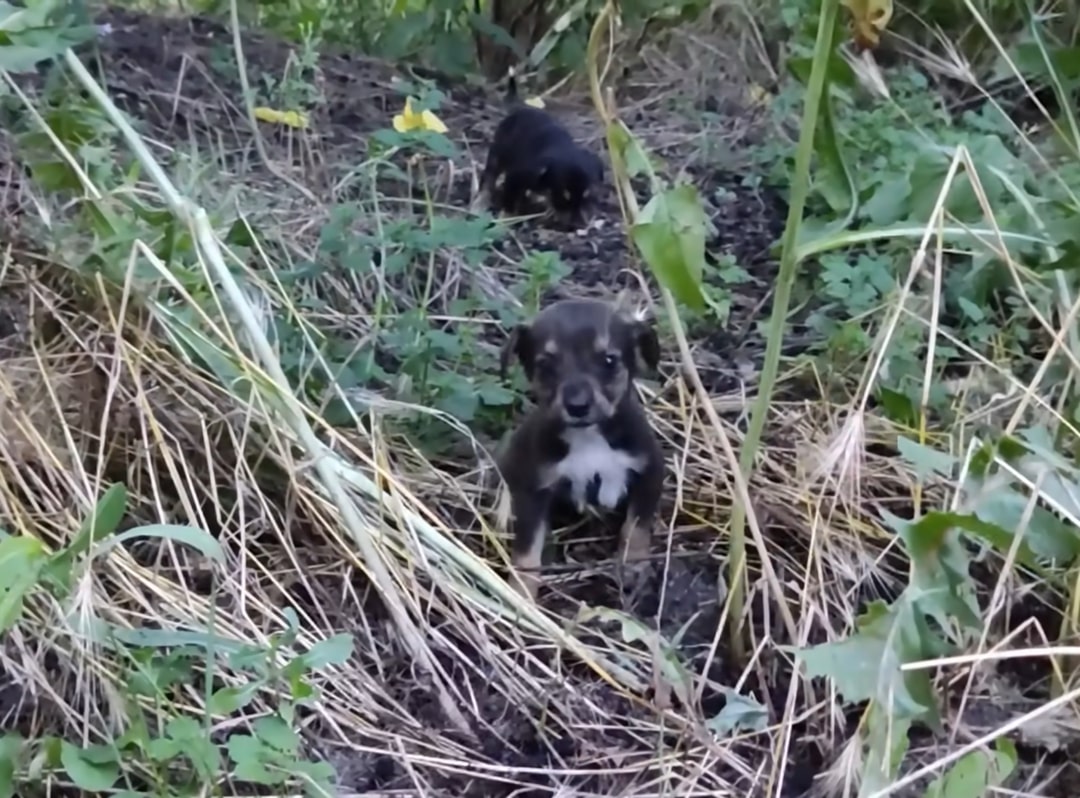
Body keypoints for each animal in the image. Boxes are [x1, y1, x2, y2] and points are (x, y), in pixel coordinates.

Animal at [481, 70, 609, 224]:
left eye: (587, 193)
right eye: (565, 194)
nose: (577, 222)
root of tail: (521, 108)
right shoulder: (516, 175)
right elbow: (509, 198)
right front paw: (507, 216)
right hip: (498, 153)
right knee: (491, 173)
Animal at [496, 298, 665, 600]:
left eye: (609, 360)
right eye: (546, 364)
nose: (577, 406)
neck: (589, 436)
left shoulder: (650, 471)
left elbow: (636, 527)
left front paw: (633, 566)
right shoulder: (533, 491)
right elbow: (527, 554)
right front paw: (521, 593)